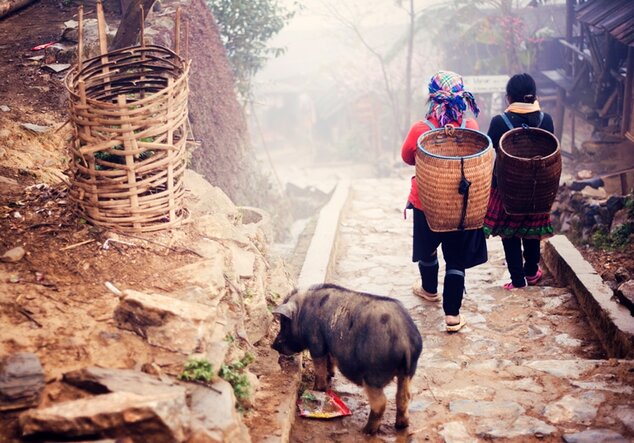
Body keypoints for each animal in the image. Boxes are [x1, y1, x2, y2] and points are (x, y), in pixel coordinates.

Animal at [270, 284, 422, 434]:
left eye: (285, 323)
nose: (273, 345)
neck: (302, 312)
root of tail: (404, 339)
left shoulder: (316, 341)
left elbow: (319, 367)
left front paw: (317, 389)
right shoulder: (328, 345)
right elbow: (329, 360)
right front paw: (330, 375)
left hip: (374, 374)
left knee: (381, 402)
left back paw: (366, 431)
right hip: (408, 371)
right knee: (404, 397)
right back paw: (401, 426)